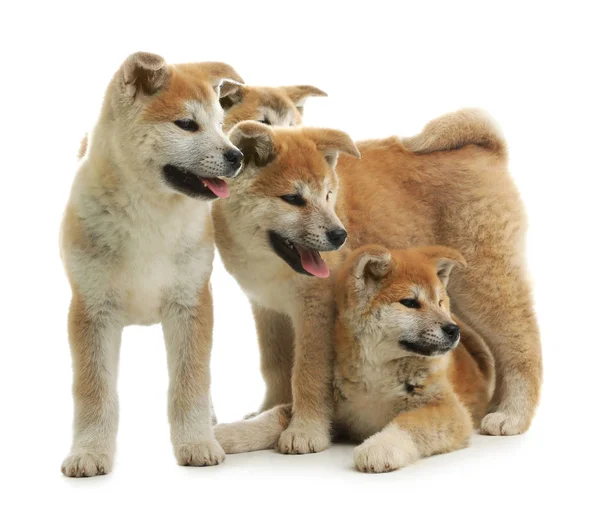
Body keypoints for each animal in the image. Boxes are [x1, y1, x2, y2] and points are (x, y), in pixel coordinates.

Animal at [62, 52, 245, 478]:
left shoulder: (191, 304)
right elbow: (94, 392)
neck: (149, 216)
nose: (237, 156)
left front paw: (197, 442)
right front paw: (89, 452)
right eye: (187, 124)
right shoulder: (91, 310)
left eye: (220, 125)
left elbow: (191, 382)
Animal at [213, 245, 494, 476]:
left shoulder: (448, 410)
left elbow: (408, 424)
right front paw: (226, 432)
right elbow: (270, 419)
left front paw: (380, 447)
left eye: (440, 302)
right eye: (410, 302)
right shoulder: (328, 406)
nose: (453, 329)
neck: (376, 374)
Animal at [217, 111, 544, 454]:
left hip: (483, 283)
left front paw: (305, 431)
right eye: (293, 199)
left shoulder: (315, 311)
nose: (339, 235)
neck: (269, 263)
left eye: (328, 196)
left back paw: (512, 414)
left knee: (522, 343)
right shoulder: (269, 309)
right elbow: (277, 367)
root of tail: (487, 150)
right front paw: (269, 410)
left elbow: (308, 372)